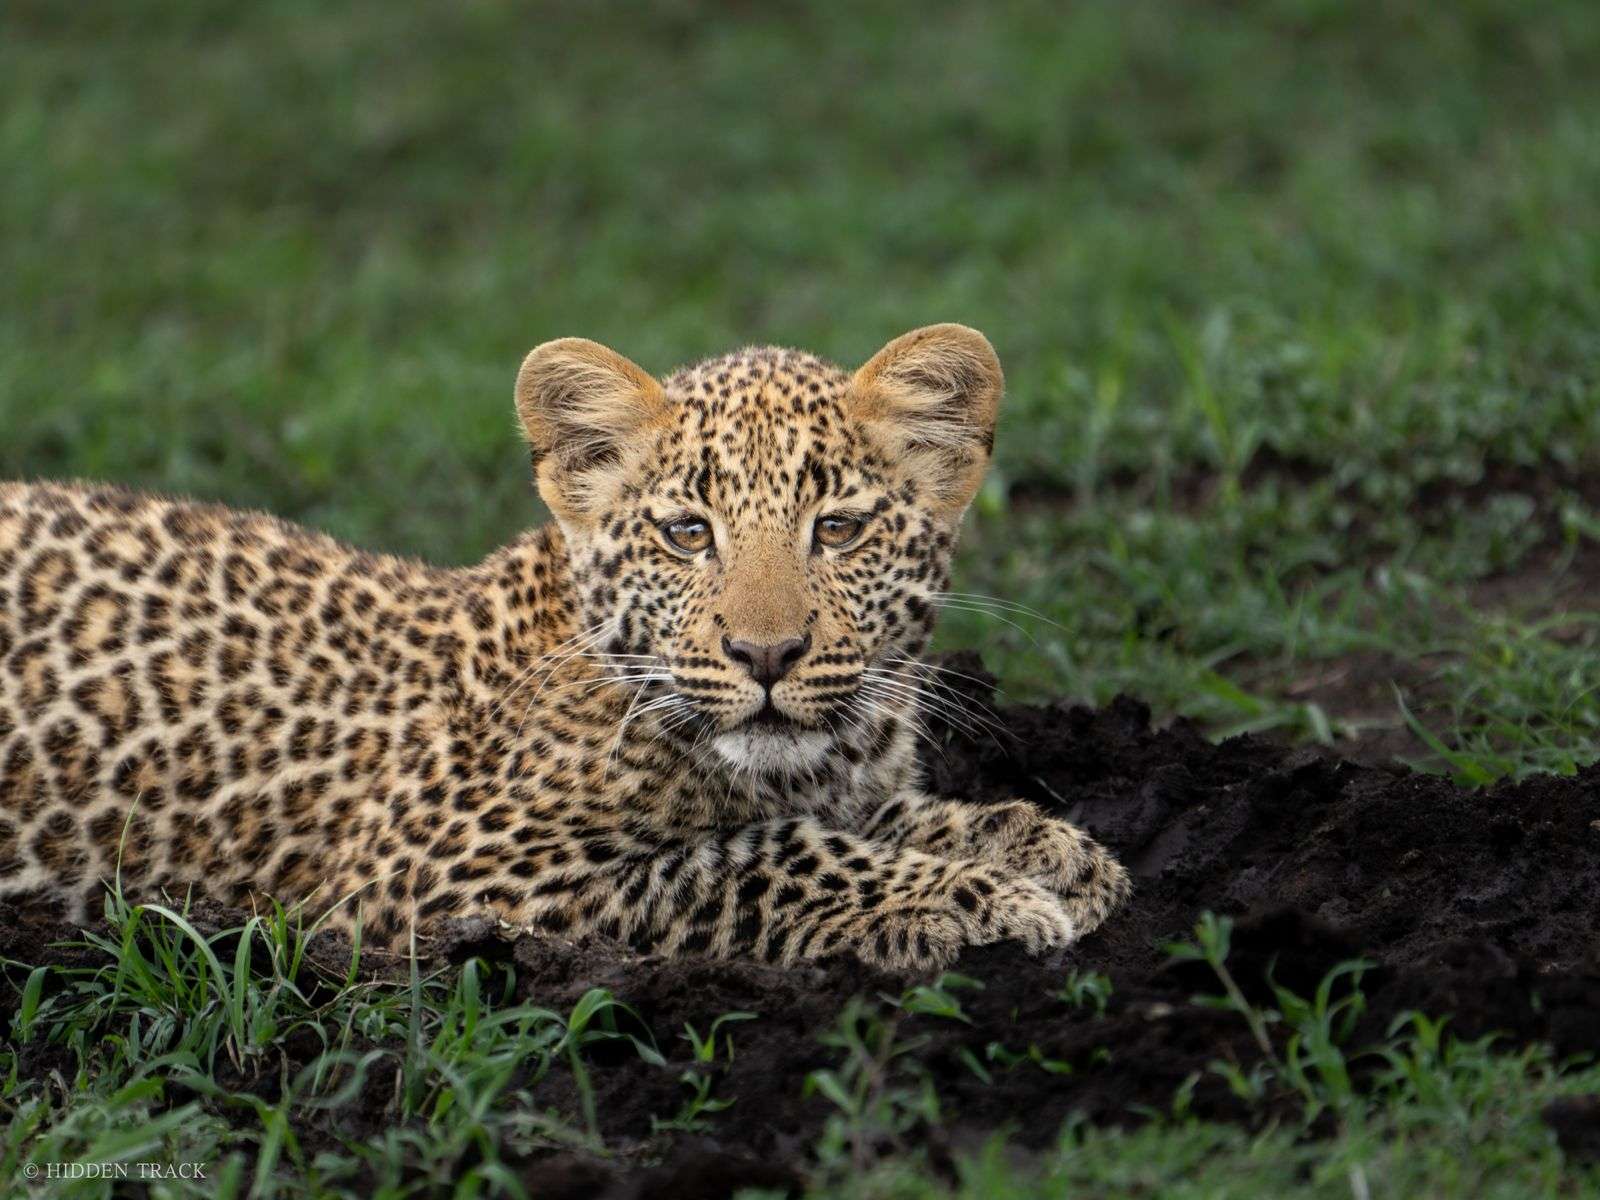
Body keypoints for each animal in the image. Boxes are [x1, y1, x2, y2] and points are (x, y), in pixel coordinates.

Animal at [0, 324, 1130, 970]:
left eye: (839, 530)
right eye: (688, 534)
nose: (766, 655)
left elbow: (881, 817)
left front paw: (1049, 853)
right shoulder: (434, 873)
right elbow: (758, 862)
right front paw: (980, 900)